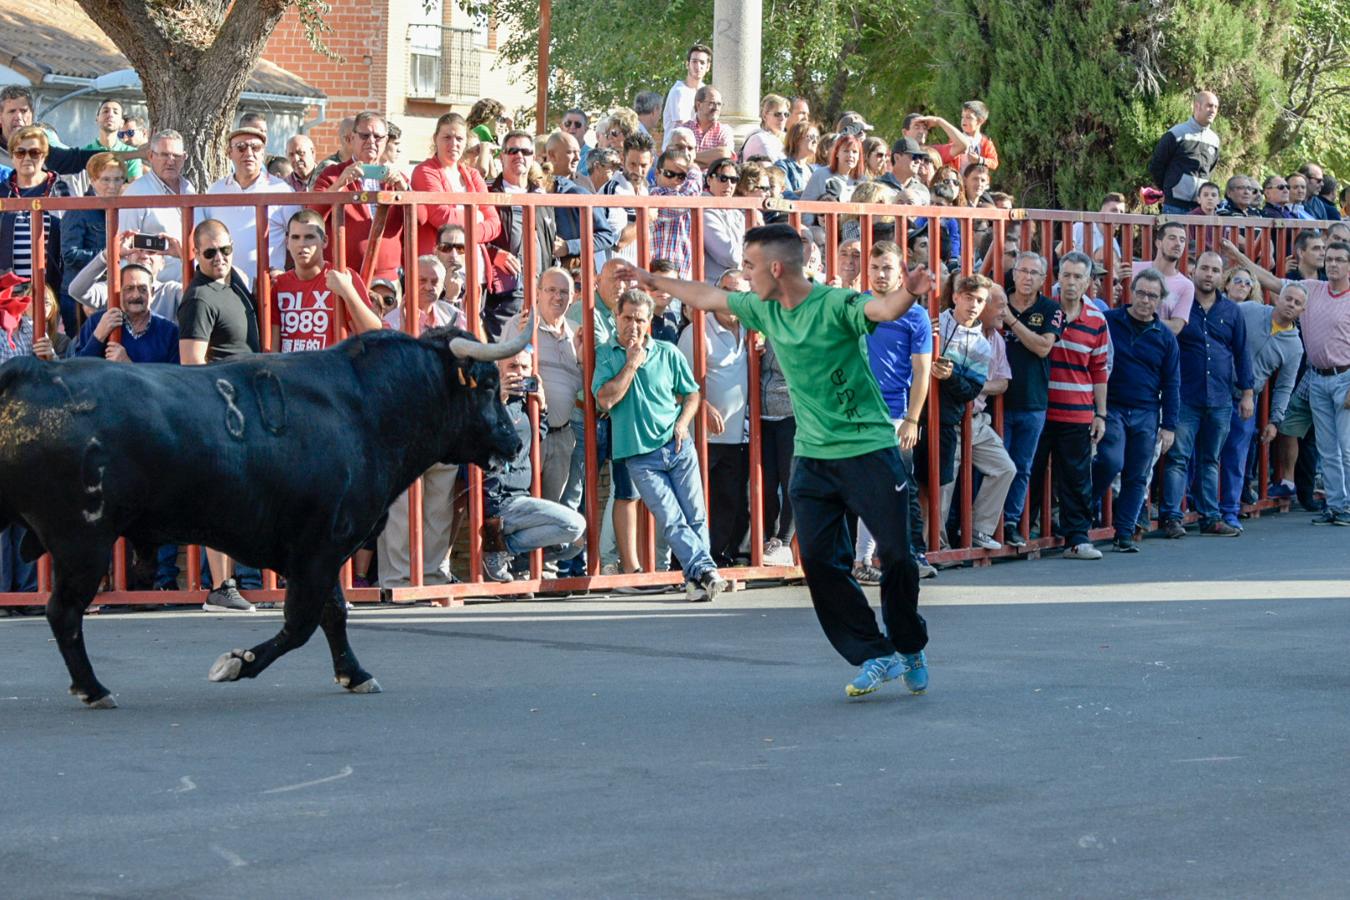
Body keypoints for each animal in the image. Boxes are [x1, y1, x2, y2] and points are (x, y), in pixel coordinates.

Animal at [0, 323, 531, 712]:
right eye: (487, 386)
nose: (513, 442)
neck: (364, 409)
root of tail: (28, 373)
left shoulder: (323, 550)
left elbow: (333, 613)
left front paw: (354, 673)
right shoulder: (319, 548)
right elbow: (301, 623)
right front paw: (237, 662)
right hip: (82, 543)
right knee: (64, 612)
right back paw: (94, 688)